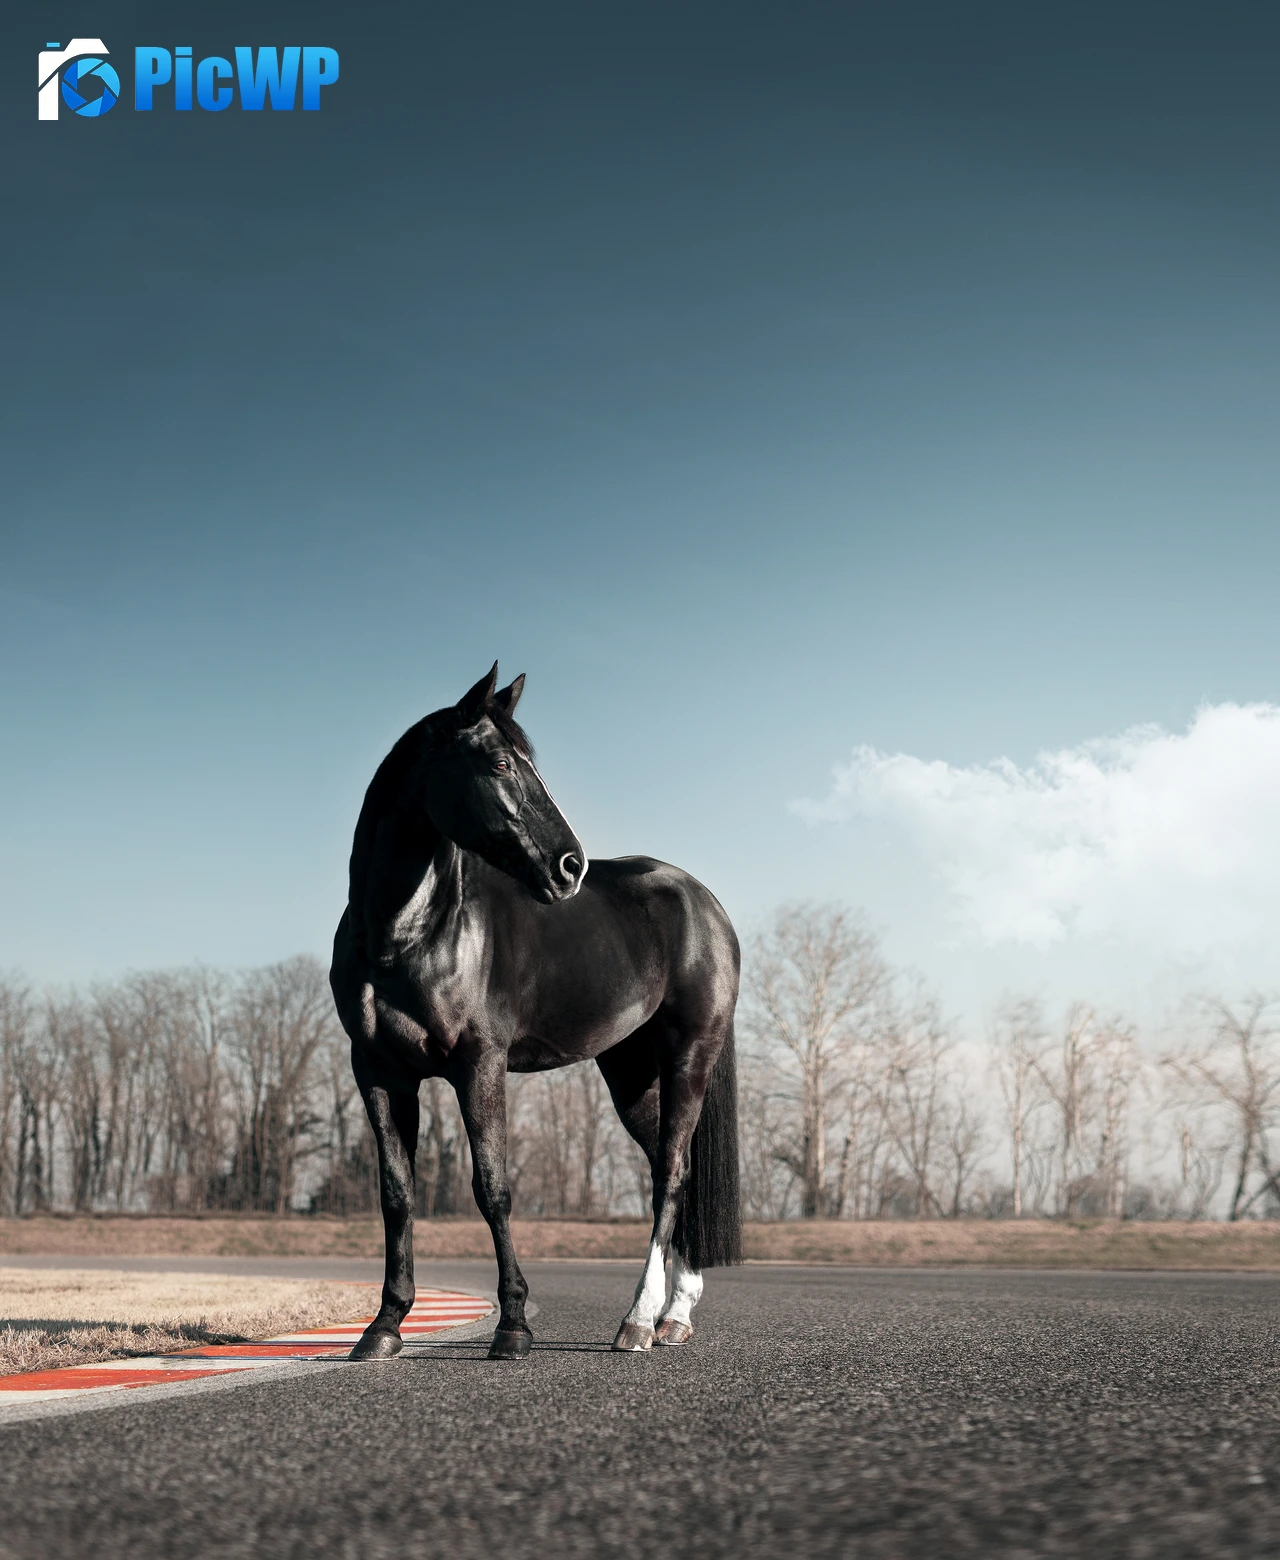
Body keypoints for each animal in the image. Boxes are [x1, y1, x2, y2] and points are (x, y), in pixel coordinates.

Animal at [329, 663, 742, 1359]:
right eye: (499, 763)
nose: (570, 866)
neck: (407, 933)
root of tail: (705, 902)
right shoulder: (379, 1071)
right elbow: (397, 1193)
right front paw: (383, 1326)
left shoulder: (479, 1065)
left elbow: (492, 1189)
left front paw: (514, 1325)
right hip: (630, 1071)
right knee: (671, 1166)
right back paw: (675, 1315)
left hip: (690, 1055)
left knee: (671, 1172)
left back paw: (638, 1320)